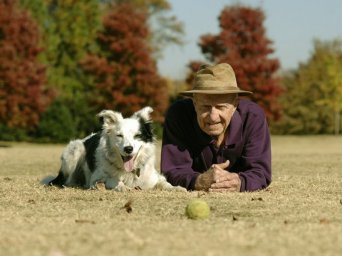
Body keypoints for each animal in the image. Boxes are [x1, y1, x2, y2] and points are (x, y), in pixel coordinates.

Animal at [48, 107, 184, 191]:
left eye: (137, 136)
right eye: (119, 135)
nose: (128, 149)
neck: (129, 171)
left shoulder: (152, 177)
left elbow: (164, 183)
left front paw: (176, 188)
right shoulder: (96, 177)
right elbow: (113, 180)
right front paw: (123, 187)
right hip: (75, 151)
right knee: (68, 180)